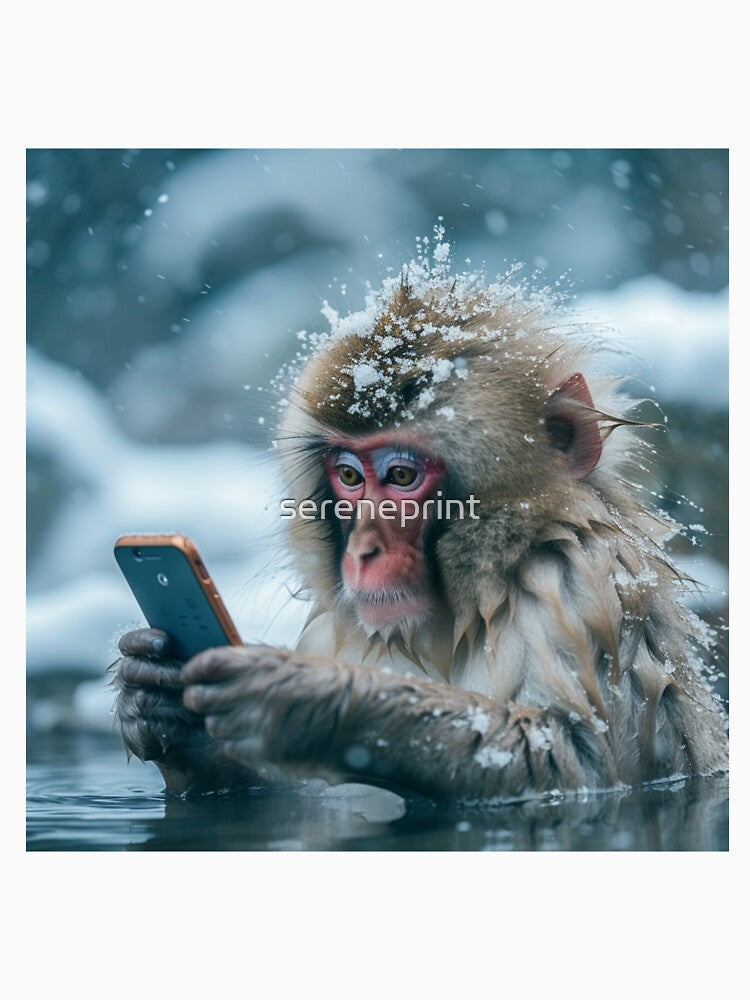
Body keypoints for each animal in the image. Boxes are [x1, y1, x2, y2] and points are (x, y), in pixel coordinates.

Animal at [112, 247, 728, 803]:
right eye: (348, 475)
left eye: (402, 475)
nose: (361, 551)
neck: (463, 612)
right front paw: (165, 707)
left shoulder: (580, 578)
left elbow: (576, 762)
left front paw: (307, 697)